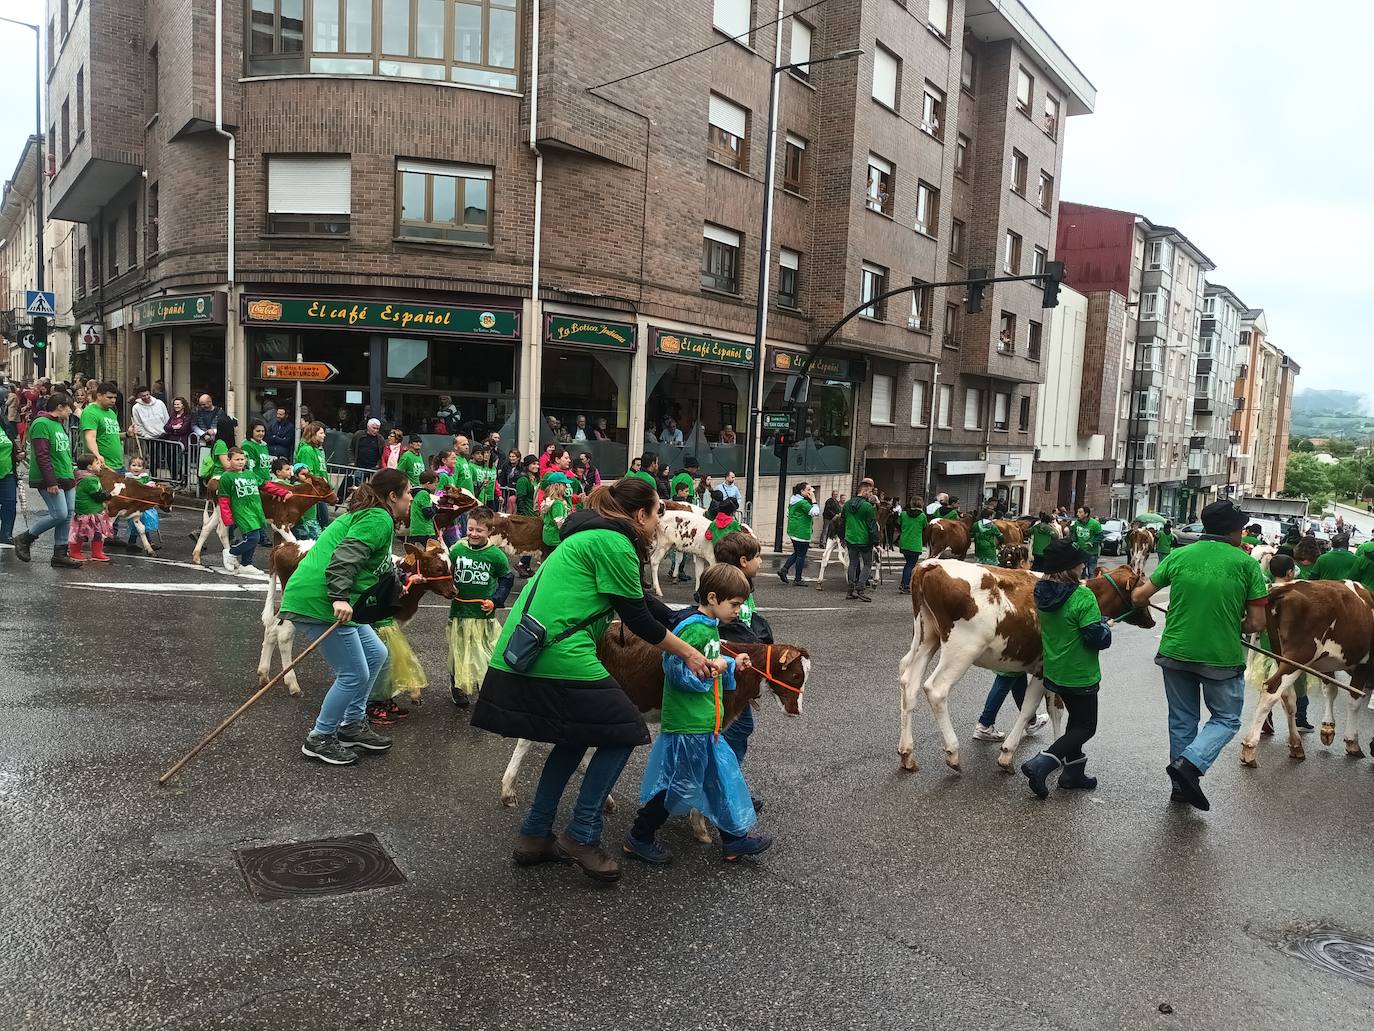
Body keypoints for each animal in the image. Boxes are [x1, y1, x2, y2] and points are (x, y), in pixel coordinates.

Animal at [255, 536, 453, 698]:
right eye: (438, 568)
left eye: (451, 566)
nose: (453, 591)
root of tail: (284, 546)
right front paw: (409, 690)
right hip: (297, 606)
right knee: (284, 635)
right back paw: (292, 684)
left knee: (271, 628)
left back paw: (264, 674)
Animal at [895, 560, 1154, 769]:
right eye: (1142, 586)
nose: (1152, 621)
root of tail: (931, 565)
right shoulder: (1043, 669)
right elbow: (1030, 707)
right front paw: (1008, 754)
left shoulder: (1054, 672)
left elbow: (1056, 709)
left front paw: (1057, 752)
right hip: (962, 648)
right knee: (936, 689)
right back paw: (953, 752)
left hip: (926, 637)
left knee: (909, 682)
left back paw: (907, 753)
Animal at [1236, 582, 1374, 769]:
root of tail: (1285, 587)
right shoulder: (1364, 664)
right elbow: (1354, 701)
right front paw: (1352, 741)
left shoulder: (1327, 662)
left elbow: (1330, 690)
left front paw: (1328, 727)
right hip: (1299, 655)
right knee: (1271, 690)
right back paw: (1249, 748)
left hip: (1281, 654)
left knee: (1287, 697)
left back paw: (1296, 744)